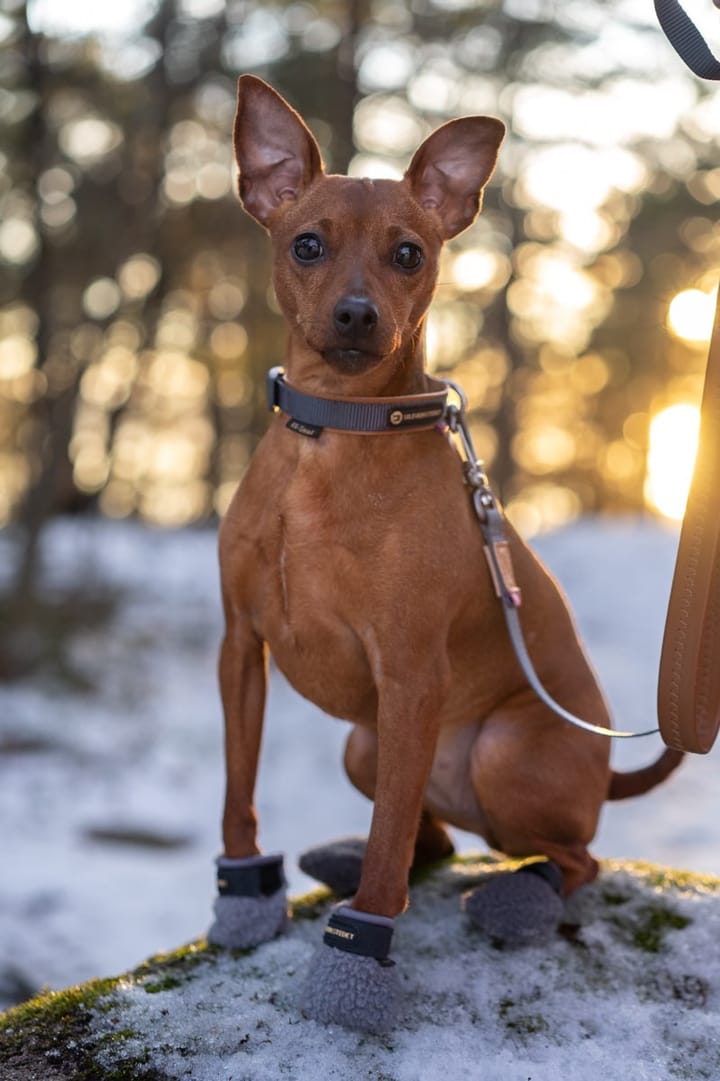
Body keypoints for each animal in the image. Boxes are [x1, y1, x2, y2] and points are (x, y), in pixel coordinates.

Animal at [210, 76, 683, 1029]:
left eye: (408, 253)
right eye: (307, 244)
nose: (358, 315)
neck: (334, 436)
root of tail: (602, 770)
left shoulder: (411, 673)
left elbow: (393, 838)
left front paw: (356, 960)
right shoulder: (241, 646)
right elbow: (242, 791)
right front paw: (243, 896)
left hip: (496, 748)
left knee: (568, 856)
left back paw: (520, 894)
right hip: (366, 743)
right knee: (427, 831)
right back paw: (352, 859)